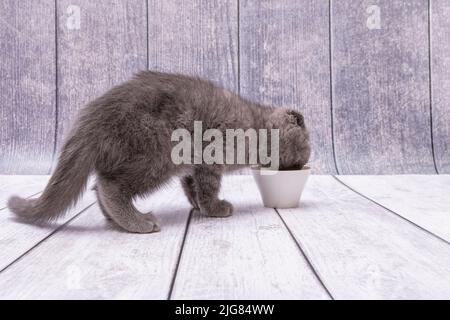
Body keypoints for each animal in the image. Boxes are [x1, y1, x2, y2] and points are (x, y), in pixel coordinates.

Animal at [7, 71, 310, 234]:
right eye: (307, 149)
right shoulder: (212, 156)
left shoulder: (195, 164)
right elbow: (208, 187)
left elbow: (191, 185)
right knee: (109, 185)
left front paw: (198, 205)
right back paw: (138, 222)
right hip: (157, 155)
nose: (304, 164)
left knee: (99, 186)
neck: (256, 124)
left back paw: (115, 220)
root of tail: (94, 114)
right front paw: (215, 208)